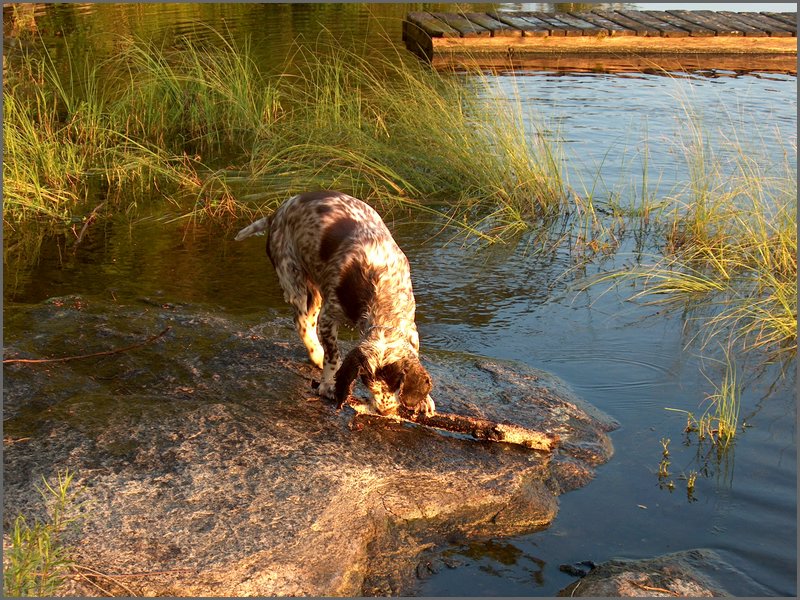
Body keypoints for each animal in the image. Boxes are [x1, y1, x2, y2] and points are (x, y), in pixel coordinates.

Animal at [234, 192, 434, 418]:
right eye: (366, 381)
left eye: (397, 383)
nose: (385, 411)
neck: (382, 287)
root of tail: (277, 213)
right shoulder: (329, 317)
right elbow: (333, 356)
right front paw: (328, 384)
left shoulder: (410, 327)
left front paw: (424, 400)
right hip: (294, 279)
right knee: (302, 322)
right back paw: (316, 353)